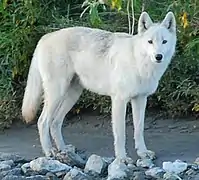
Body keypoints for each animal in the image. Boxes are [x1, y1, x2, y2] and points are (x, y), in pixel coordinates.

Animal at [21, 11, 176, 160]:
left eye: (164, 41)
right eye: (150, 42)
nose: (158, 56)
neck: (139, 62)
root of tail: (44, 38)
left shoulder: (140, 99)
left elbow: (139, 130)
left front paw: (143, 153)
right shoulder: (119, 101)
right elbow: (120, 134)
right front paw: (122, 158)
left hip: (72, 95)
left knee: (55, 122)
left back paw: (63, 149)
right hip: (57, 94)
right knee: (42, 121)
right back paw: (49, 151)